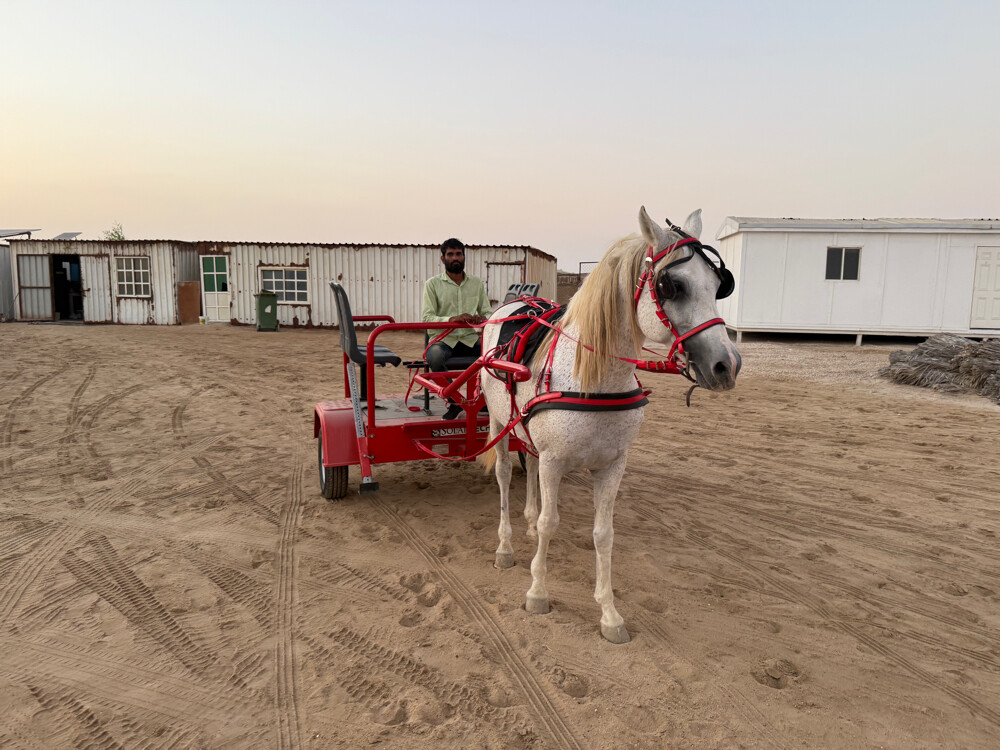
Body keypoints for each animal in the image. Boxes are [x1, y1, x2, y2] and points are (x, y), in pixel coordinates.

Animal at [479, 207, 741, 643]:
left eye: (719, 285)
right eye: (673, 286)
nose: (727, 364)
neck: (593, 379)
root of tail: (512, 305)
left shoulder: (612, 465)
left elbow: (604, 534)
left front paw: (609, 613)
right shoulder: (555, 461)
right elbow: (552, 523)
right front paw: (538, 592)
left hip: (526, 430)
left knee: (528, 465)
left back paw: (527, 523)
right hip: (500, 421)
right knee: (502, 476)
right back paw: (506, 547)